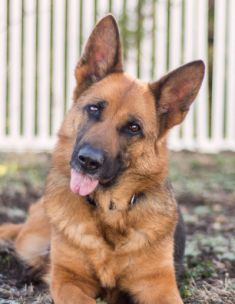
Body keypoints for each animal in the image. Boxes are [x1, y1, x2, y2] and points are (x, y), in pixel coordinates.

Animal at [0, 14, 204, 304]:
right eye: (94, 108)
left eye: (133, 128)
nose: (88, 161)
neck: (109, 211)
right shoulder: (69, 280)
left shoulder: (160, 285)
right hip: (30, 241)